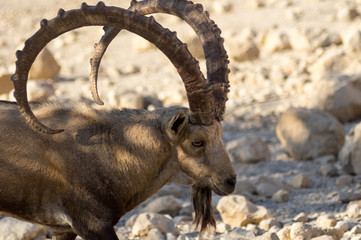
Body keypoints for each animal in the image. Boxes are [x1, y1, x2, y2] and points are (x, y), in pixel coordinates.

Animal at [2, 0, 236, 239]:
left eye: (220, 134)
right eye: (196, 142)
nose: (230, 182)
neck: (114, 149)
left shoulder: (63, 229)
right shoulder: (92, 224)